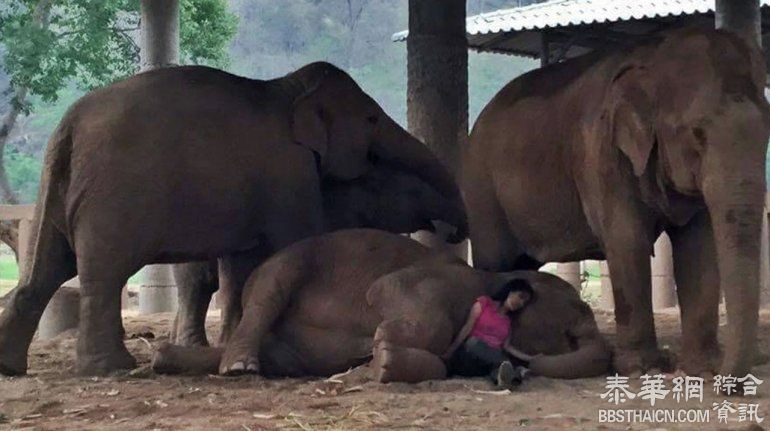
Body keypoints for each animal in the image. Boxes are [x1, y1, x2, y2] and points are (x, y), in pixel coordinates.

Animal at [0, 61, 462, 378]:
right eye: (371, 119)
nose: (455, 230)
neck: (289, 89)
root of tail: (68, 124)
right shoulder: (288, 173)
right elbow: (294, 241)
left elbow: (244, 263)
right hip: (111, 199)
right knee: (103, 273)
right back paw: (112, 368)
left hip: (55, 189)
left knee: (45, 272)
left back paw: (12, 368)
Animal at [148, 230, 608, 382]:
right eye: (572, 318)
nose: (525, 365)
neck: (492, 281)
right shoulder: (437, 284)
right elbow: (386, 291)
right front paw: (383, 344)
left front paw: (382, 361)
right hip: (285, 265)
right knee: (267, 298)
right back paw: (239, 368)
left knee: (280, 356)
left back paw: (162, 358)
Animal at [460, 27, 768, 378]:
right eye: (697, 133)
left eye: (767, 132)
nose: (728, 381)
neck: (654, 56)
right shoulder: (600, 154)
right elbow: (627, 240)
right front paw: (641, 368)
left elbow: (698, 246)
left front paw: (701, 368)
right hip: (481, 190)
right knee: (496, 261)